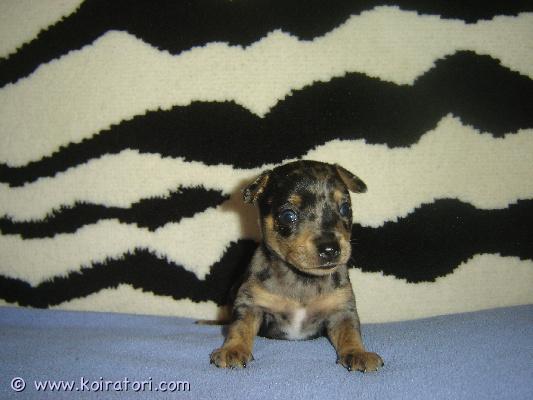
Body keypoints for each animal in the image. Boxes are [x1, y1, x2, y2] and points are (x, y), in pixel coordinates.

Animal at [209, 160, 383, 372]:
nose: (330, 249)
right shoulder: (250, 304)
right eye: (288, 215)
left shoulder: (341, 310)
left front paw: (358, 353)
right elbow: (240, 327)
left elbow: (350, 332)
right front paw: (233, 350)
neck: (301, 278)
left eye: (345, 208)